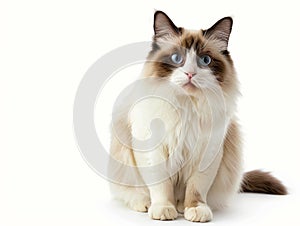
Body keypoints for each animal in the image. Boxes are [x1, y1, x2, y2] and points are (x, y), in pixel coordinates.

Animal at [108, 11, 286, 222]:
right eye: (177, 58)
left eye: (205, 60)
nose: (190, 73)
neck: (187, 106)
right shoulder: (154, 150)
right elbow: (161, 186)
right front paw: (163, 209)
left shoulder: (207, 153)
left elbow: (196, 188)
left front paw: (194, 209)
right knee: (131, 192)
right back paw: (146, 204)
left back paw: (180, 206)